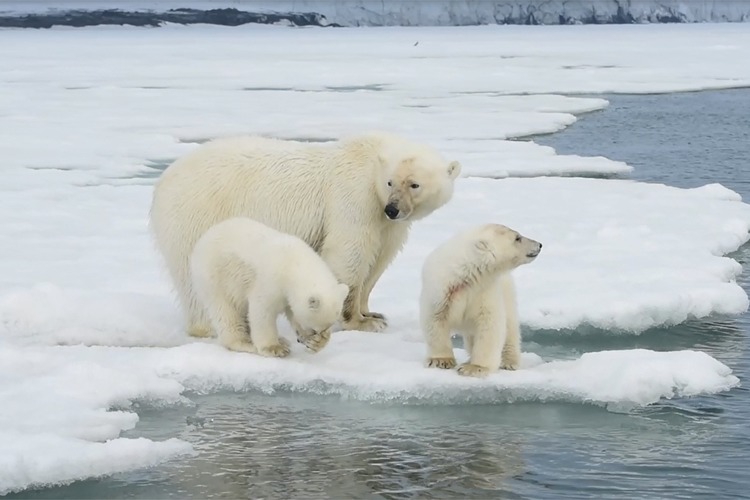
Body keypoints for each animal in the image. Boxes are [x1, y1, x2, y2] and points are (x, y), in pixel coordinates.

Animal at [150, 131, 462, 338]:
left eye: (414, 184)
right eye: (390, 182)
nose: (393, 209)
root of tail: (164, 180)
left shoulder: (387, 224)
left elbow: (379, 260)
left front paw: (372, 313)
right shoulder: (355, 197)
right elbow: (349, 253)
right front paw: (360, 322)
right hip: (197, 215)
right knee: (193, 277)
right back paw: (211, 327)